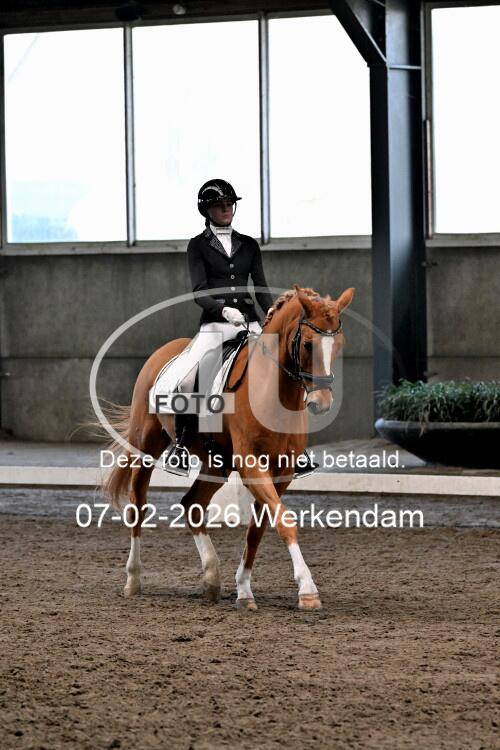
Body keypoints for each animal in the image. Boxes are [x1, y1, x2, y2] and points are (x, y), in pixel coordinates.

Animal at [102, 284, 355, 611]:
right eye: (309, 345)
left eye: (338, 344)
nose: (321, 403)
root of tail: (164, 353)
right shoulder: (251, 465)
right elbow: (285, 522)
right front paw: (307, 590)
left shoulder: (281, 472)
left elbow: (257, 531)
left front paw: (244, 590)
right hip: (147, 446)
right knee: (138, 504)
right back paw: (133, 580)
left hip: (217, 464)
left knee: (193, 504)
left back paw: (212, 578)